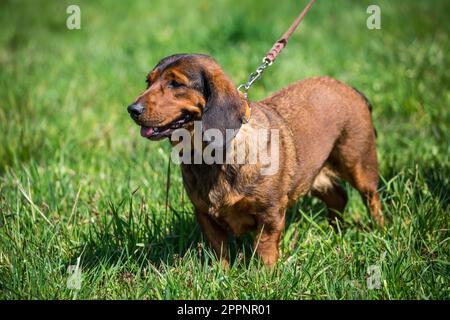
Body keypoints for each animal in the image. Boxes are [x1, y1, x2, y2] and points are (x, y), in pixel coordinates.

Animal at [127, 53, 384, 266]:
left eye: (175, 83)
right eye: (148, 82)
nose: (132, 109)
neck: (214, 154)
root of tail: (350, 89)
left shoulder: (270, 215)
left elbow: (264, 250)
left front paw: (265, 278)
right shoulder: (205, 216)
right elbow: (220, 252)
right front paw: (221, 275)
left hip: (359, 166)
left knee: (371, 198)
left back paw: (379, 231)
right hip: (312, 176)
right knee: (339, 197)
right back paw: (335, 230)